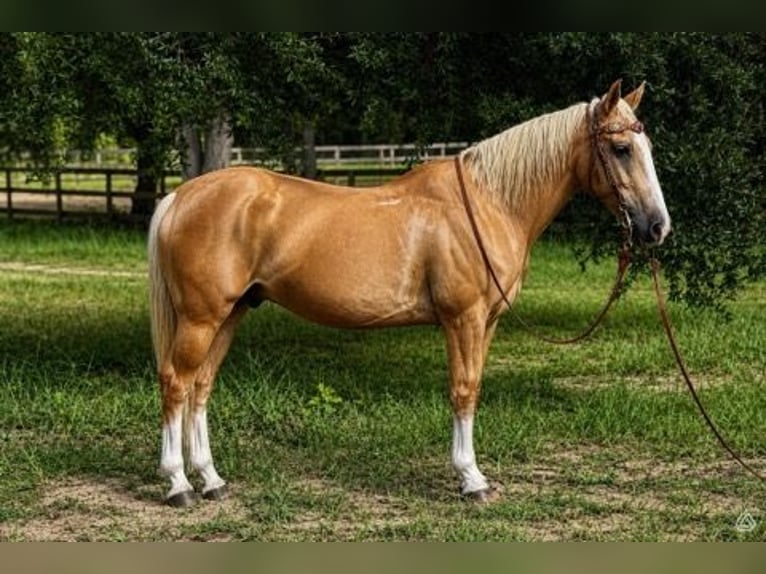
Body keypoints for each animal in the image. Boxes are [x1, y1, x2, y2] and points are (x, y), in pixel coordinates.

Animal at [148, 80, 671, 507]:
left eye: (647, 145)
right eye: (621, 148)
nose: (657, 227)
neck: (489, 203)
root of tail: (181, 196)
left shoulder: (487, 323)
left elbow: (472, 388)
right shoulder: (463, 318)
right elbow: (463, 390)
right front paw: (471, 479)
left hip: (231, 313)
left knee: (200, 387)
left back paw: (211, 481)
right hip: (200, 318)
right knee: (176, 383)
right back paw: (178, 485)